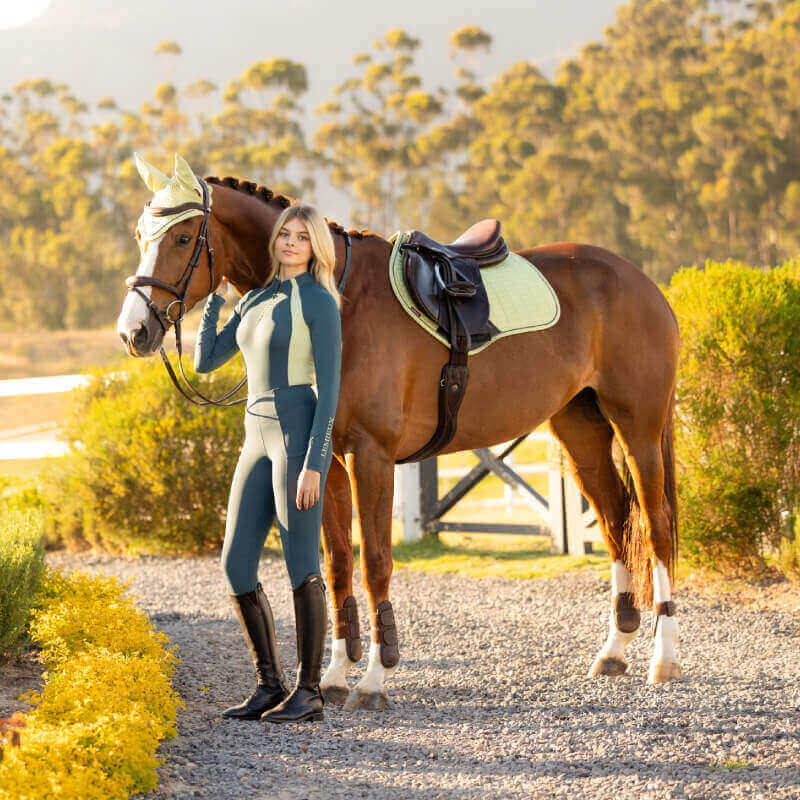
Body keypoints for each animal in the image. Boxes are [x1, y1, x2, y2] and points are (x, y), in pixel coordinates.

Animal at [117, 154, 681, 711]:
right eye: (142, 234)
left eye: (183, 238)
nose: (133, 332)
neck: (340, 298)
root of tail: (639, 279)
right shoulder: (328, 461)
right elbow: (338, 564)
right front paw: (335, 676)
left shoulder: (371, 456)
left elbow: (375, 564)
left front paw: (373, 679)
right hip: (579, 430)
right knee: (616, 521)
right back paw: (614, 650)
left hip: (638, 429)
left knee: (655, 525)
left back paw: (664, 658)